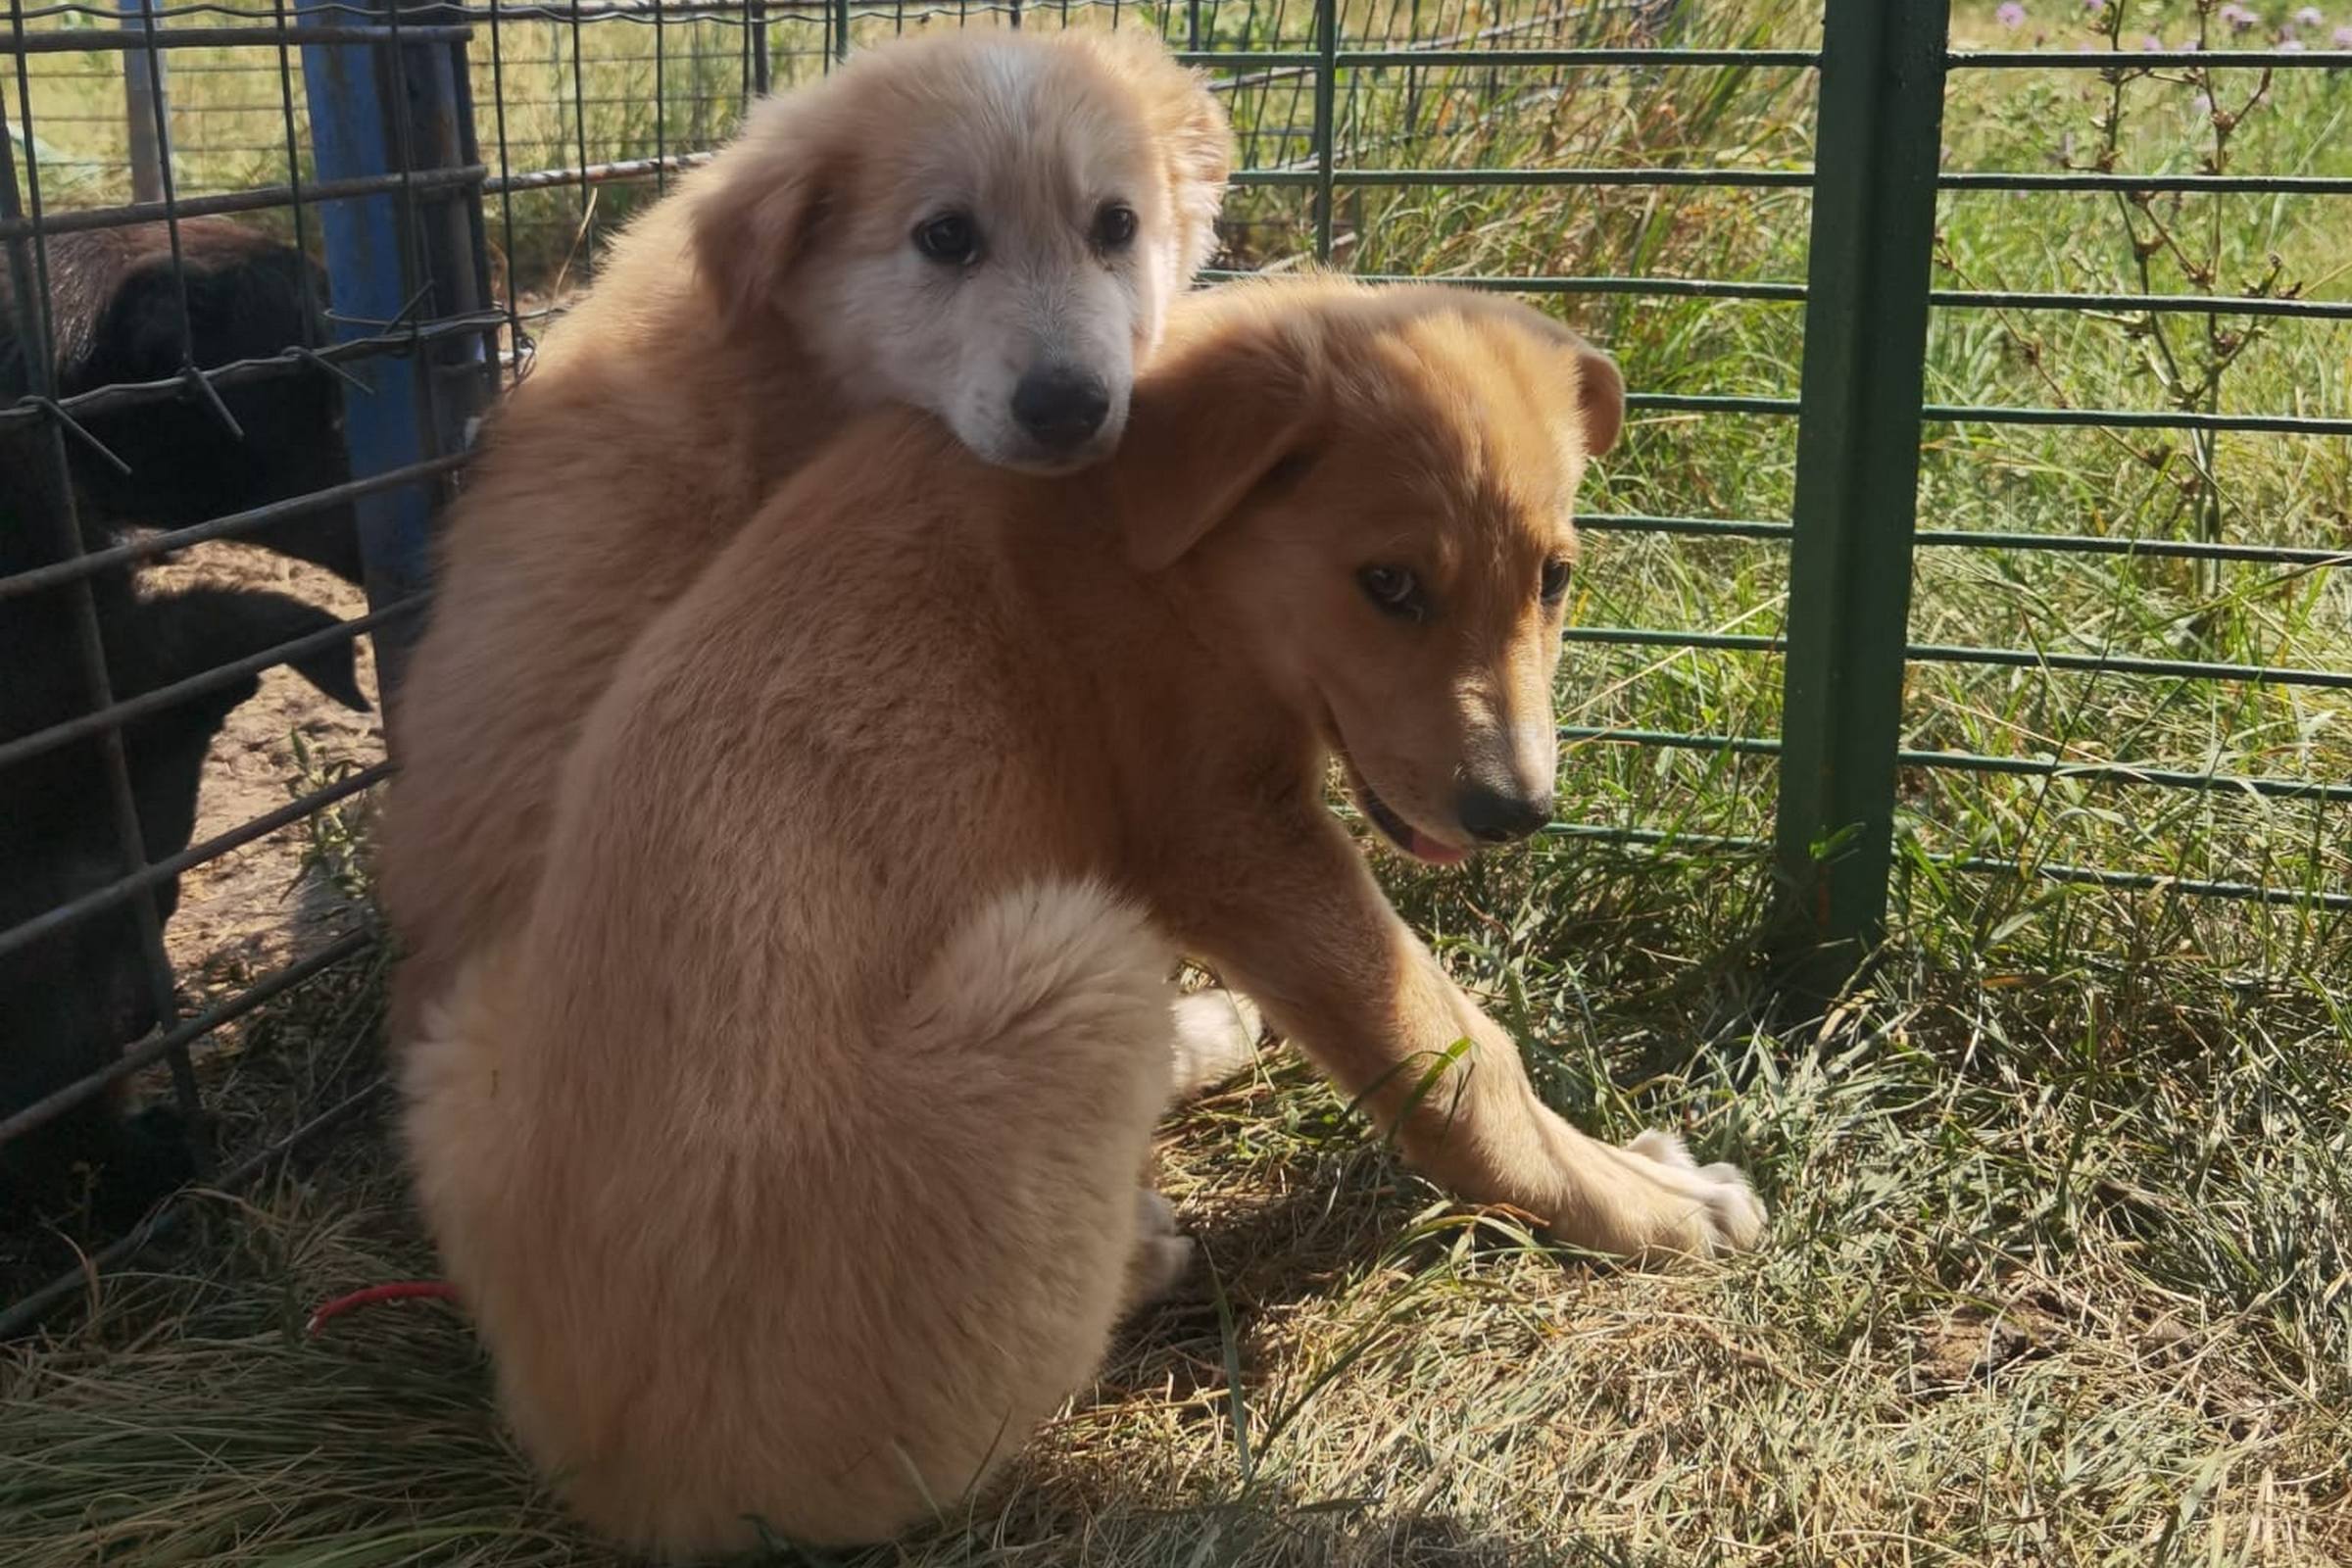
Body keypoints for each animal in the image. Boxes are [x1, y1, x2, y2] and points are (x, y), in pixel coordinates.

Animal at [404, 278, 1768, 1560]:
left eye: (1555, 579)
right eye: (1388, 584)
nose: (1516, 811)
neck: (1158, 537)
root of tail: (609, 1476)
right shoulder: (1230, 835)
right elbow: (1458, 1055)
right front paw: (1645, 1205)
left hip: (466, 1034)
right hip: (1073, 951)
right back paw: (1145, 1247)